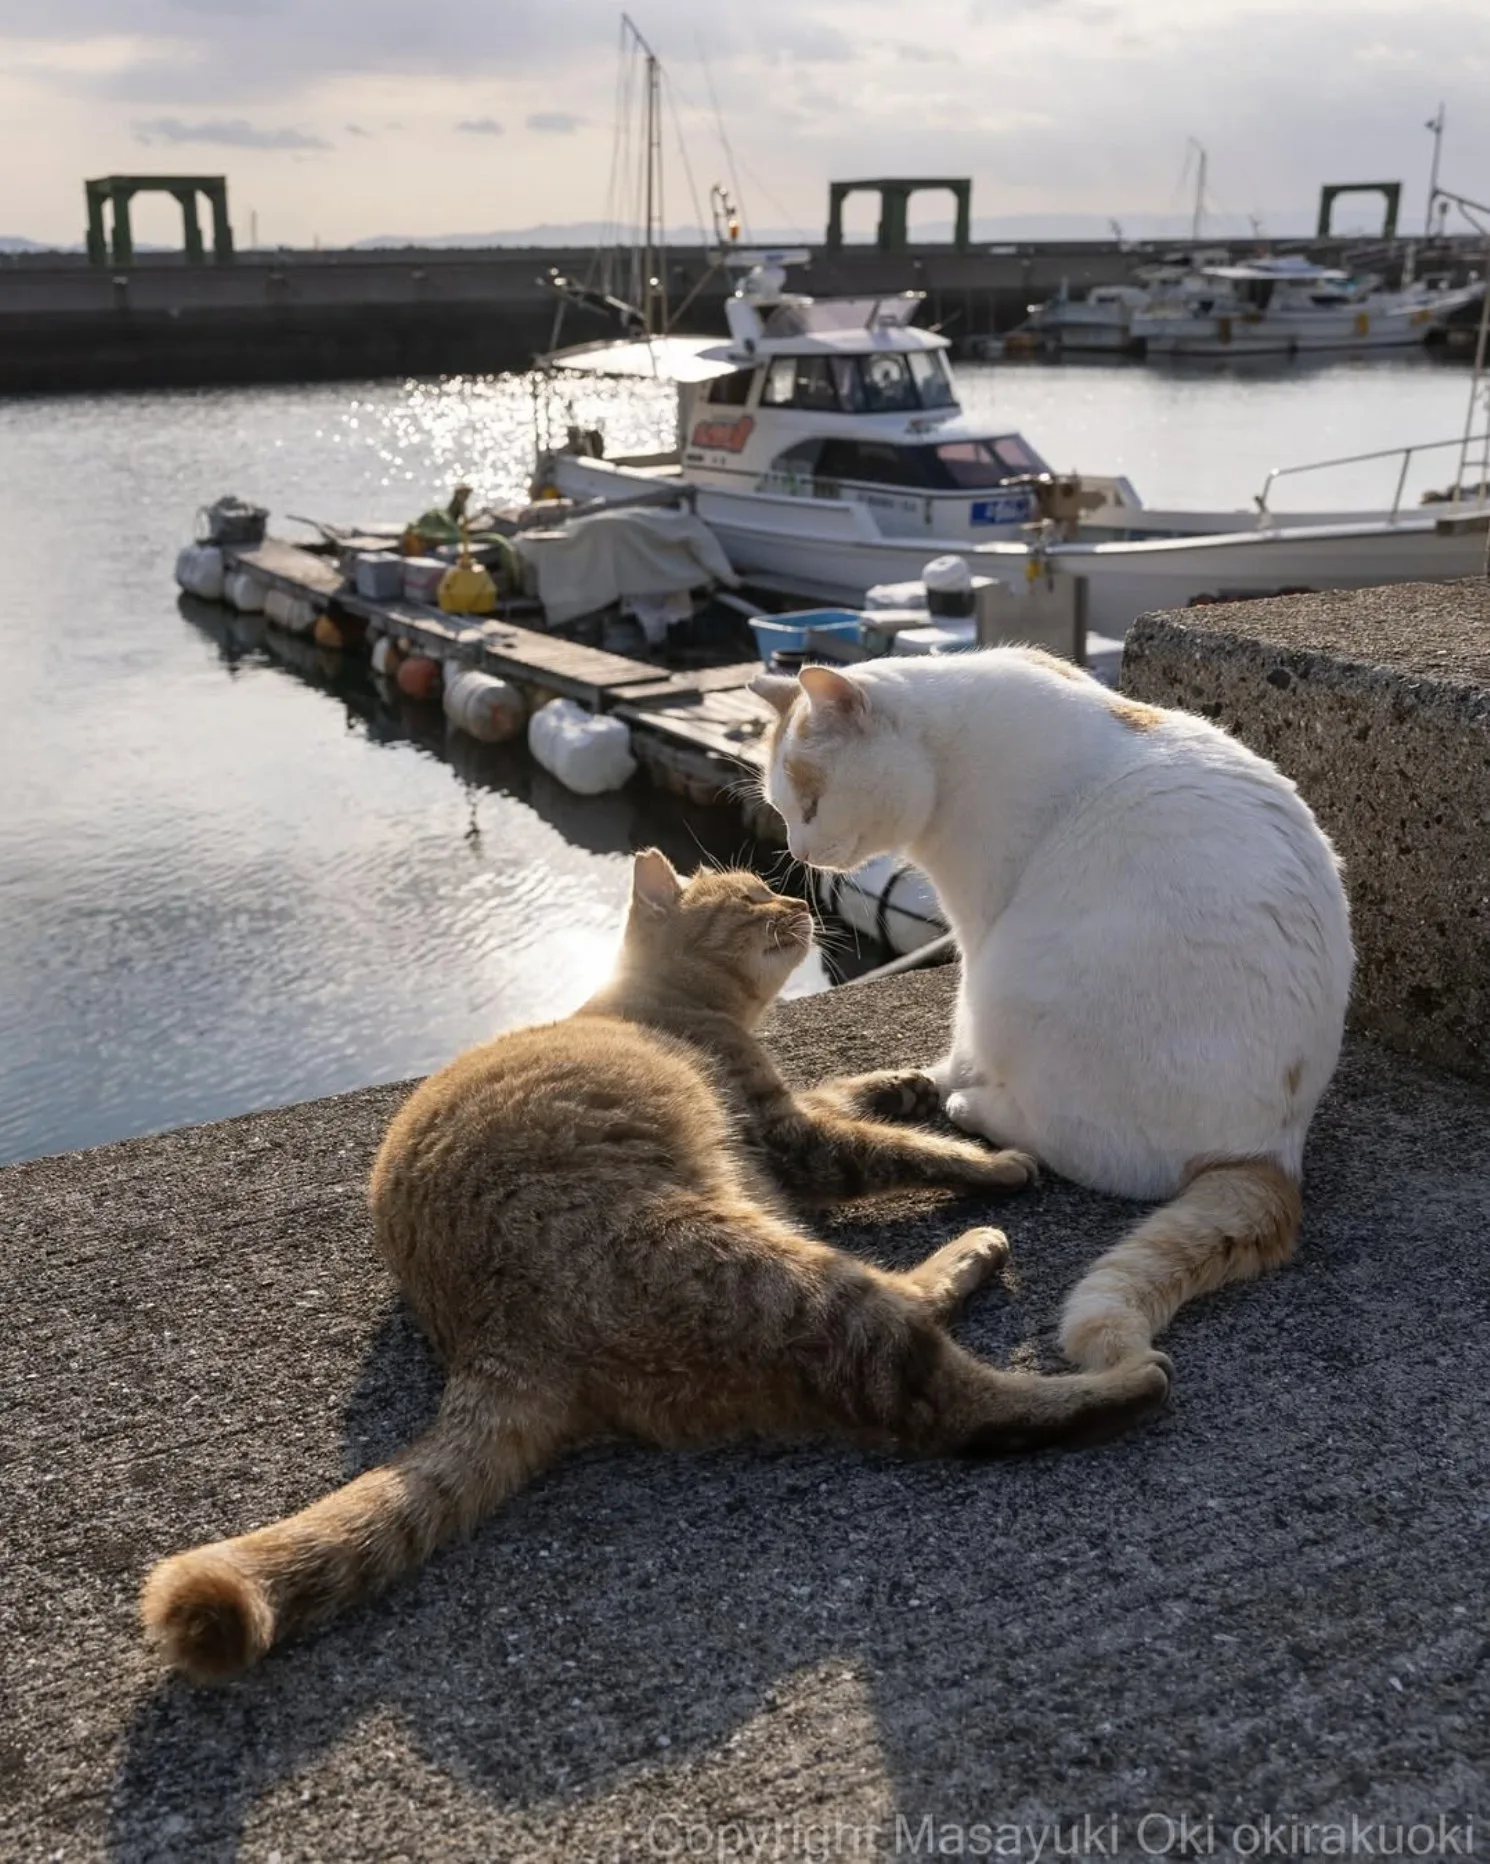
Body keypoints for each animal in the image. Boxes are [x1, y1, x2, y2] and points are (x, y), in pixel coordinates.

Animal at [757, 652, 1350, 1371]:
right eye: (779, 808)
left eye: (812, 802)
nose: (799, 851)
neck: (955, 742)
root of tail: (1269, 1151)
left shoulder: (978, 928)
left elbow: (958, 1044)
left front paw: (939, 1079)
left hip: (1013, 990)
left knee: (1076, 1146)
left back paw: (972, 1107)